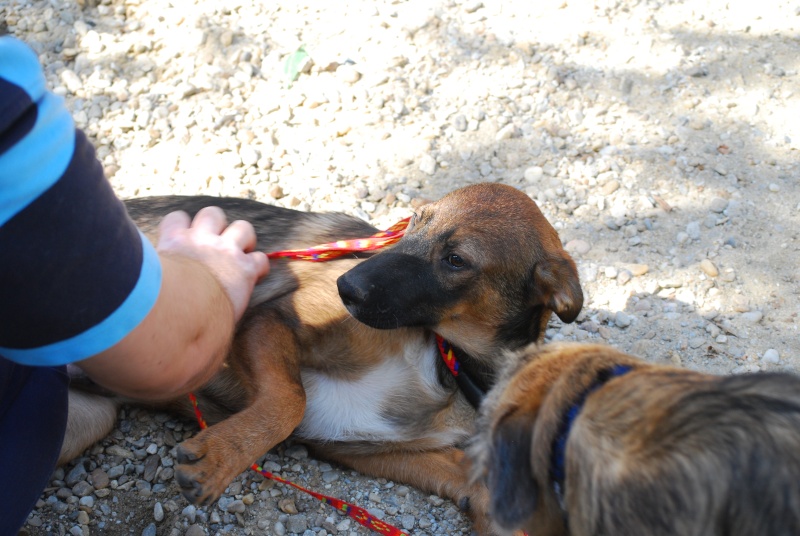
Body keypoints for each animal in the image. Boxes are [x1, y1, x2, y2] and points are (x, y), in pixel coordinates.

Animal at [62, 183, 584, 532]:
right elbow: (288, 401)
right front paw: (221, 456)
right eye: (413, 222)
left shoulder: (368, 448)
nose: (345, 286)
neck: (446, 363)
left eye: (457, 260)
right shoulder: (268, 318)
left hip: (85, 420)